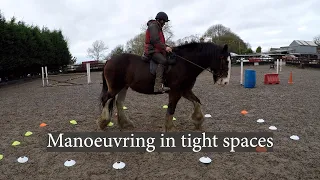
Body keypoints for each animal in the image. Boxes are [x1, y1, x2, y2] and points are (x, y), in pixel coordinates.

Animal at [97, 42, 230, 132]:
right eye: (225, 60)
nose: (225, 82)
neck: (184, 64)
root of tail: (109, 60)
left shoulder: (185, 90)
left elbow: (197, 101)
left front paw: (198, 120)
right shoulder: (175, 92)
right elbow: (171, 109)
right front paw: (170, 128)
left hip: (123, 87)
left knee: (118, 102)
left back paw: (125, 123)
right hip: (115, 87)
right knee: (106, 99)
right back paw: (103, 122)